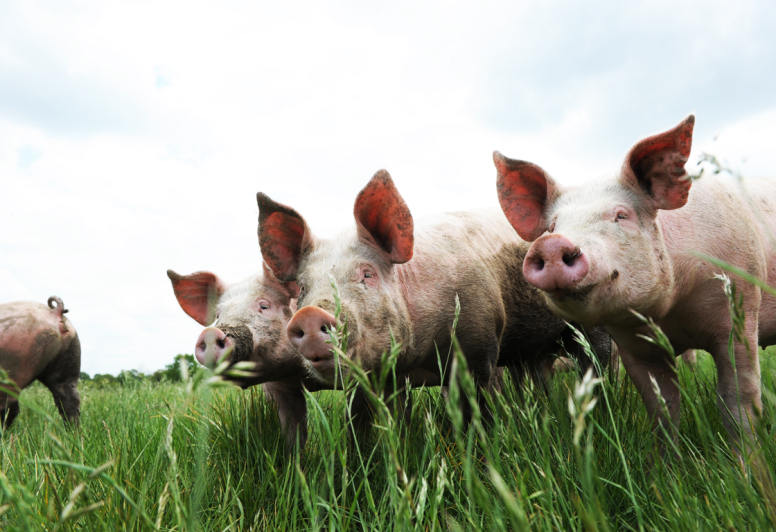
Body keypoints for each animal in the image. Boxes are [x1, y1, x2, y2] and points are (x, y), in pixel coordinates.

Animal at [0, 298, 81, 430]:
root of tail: (56, 312)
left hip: (13, 366)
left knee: (8, 406)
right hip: (68, 360)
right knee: (69, 400)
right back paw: (73, 432)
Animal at [168, 266, 322, 448]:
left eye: (264, 306)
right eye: (218, 314)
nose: (210, 333)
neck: (301, 375)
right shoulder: (277, 388)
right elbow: (292, 432)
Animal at [258, 170, 608, 424]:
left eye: (367, 274)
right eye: (303, 287)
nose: (309, 315)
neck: (415, 361)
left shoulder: (479, 343)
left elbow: (477, 409)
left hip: (591, 321)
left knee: (597, 364)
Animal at [494, 114, 772, 446]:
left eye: (621, 215)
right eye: (552, 226)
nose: (551, 244)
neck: (670, 316)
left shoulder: (740, 310)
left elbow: (736, 402)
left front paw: (747, 461)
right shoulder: (633, 346)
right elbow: (661, 409)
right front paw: (666, 460)